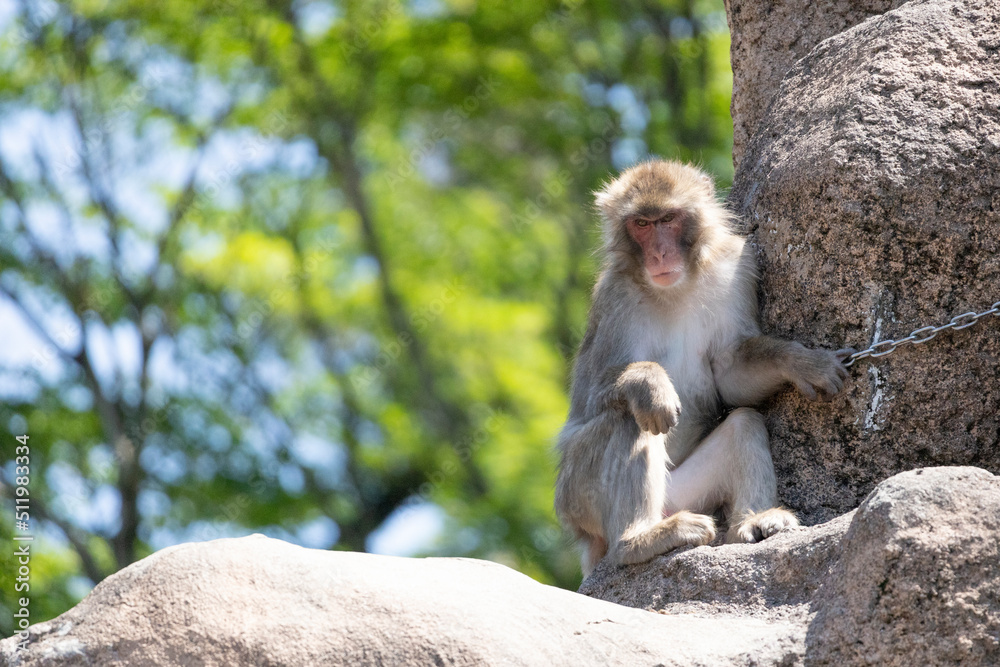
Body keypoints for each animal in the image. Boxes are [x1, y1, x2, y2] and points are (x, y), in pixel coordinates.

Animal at [554, 160, 853, 577]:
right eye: (641, 224)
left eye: (668, 219)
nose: (660, 254)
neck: (674, 289)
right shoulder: (613, 298)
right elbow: (588, 401)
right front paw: (649, 383)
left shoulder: (736, 268)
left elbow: (730, 371)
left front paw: (802, 362)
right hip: (575, 500)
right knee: (629, 418)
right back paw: (637, 540)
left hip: (680, 494)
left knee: (744, 422)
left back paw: (753, 523)